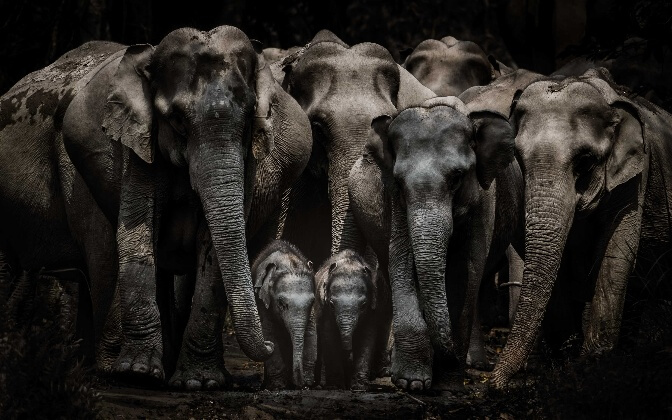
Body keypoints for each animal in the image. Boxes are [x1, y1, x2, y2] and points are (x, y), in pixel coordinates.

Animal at [251, 239, 317, 390]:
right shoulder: (262, 303)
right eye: (281, 304)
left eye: (312, 302)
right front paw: (278, 386)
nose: (299, 384)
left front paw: (308, 384)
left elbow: (311, 333)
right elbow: (269, 333)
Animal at [314, 249, 391, 390]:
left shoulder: (373, 309)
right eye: (332, 305)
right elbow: (328, 335)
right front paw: (336, 386)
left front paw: (359, 387)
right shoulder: (322, 307)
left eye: (363, 306)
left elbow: (366, 337)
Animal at [348, 95, 524, 391]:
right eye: (398, 182)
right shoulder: (395, 202)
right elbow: (400, 261)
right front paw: (411, 382)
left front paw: (448, 385)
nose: (448, 358)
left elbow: (468, 270)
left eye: (457, 177)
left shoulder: (485, 199)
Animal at [484, 67, 672, 387]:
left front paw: (592, 367)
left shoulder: (635, 176)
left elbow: (615, 256)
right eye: (518, 157)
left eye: (585, 161)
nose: (492, 386)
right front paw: (565, 366)